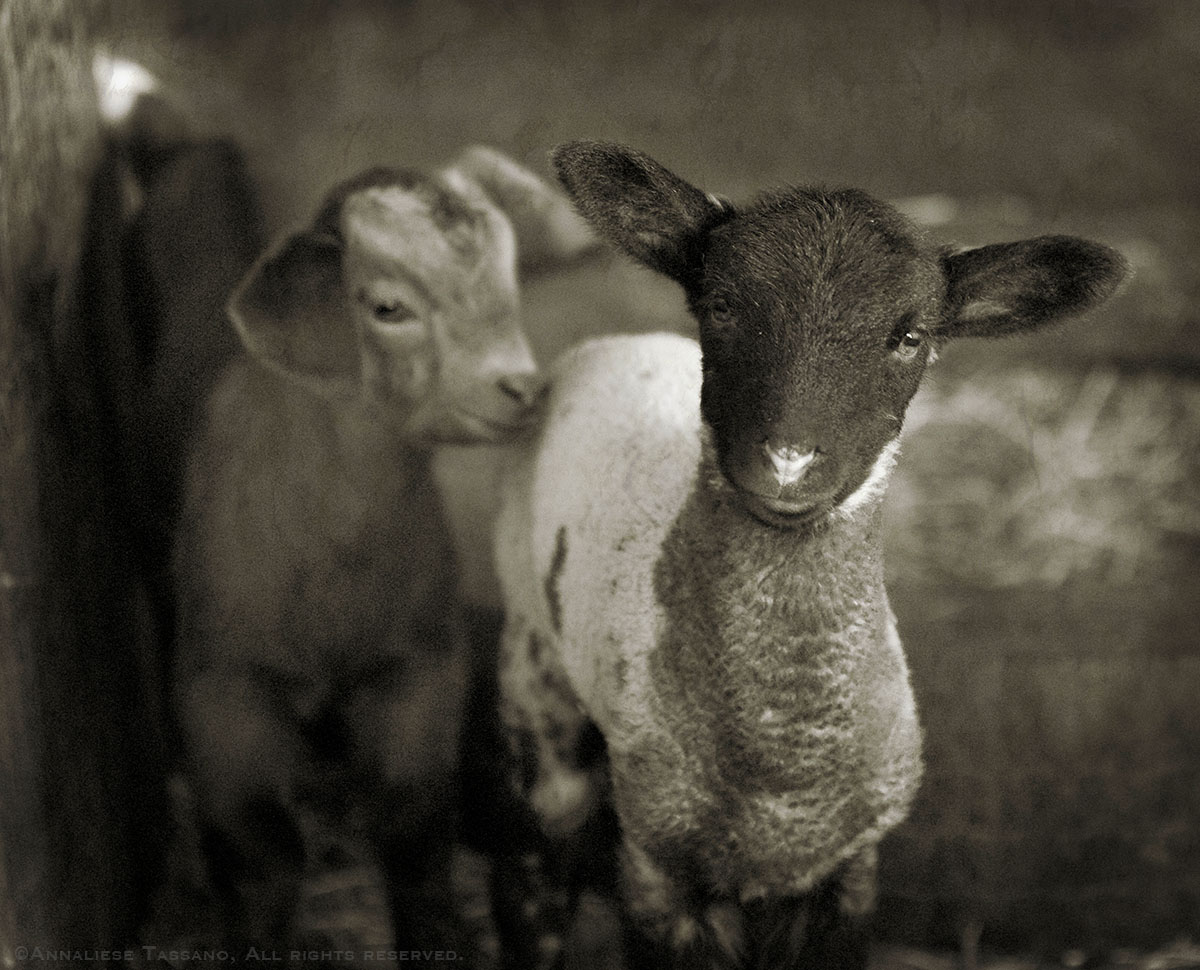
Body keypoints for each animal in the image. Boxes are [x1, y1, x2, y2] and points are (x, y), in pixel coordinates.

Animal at [171, 146, 594, 957]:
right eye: (388, 309)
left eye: (507, 287)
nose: (521, 389)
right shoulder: (221, 687)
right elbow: (263, 849)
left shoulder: (421, 665)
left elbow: (412, 821)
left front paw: (438, 935)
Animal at [492, 141, 1128, 969]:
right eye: (721, 306)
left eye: (910, 337)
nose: (787, 465)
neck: (782, 769)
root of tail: (623, 343)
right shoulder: (657, 871)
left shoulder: (850, 870)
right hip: (535, 683)